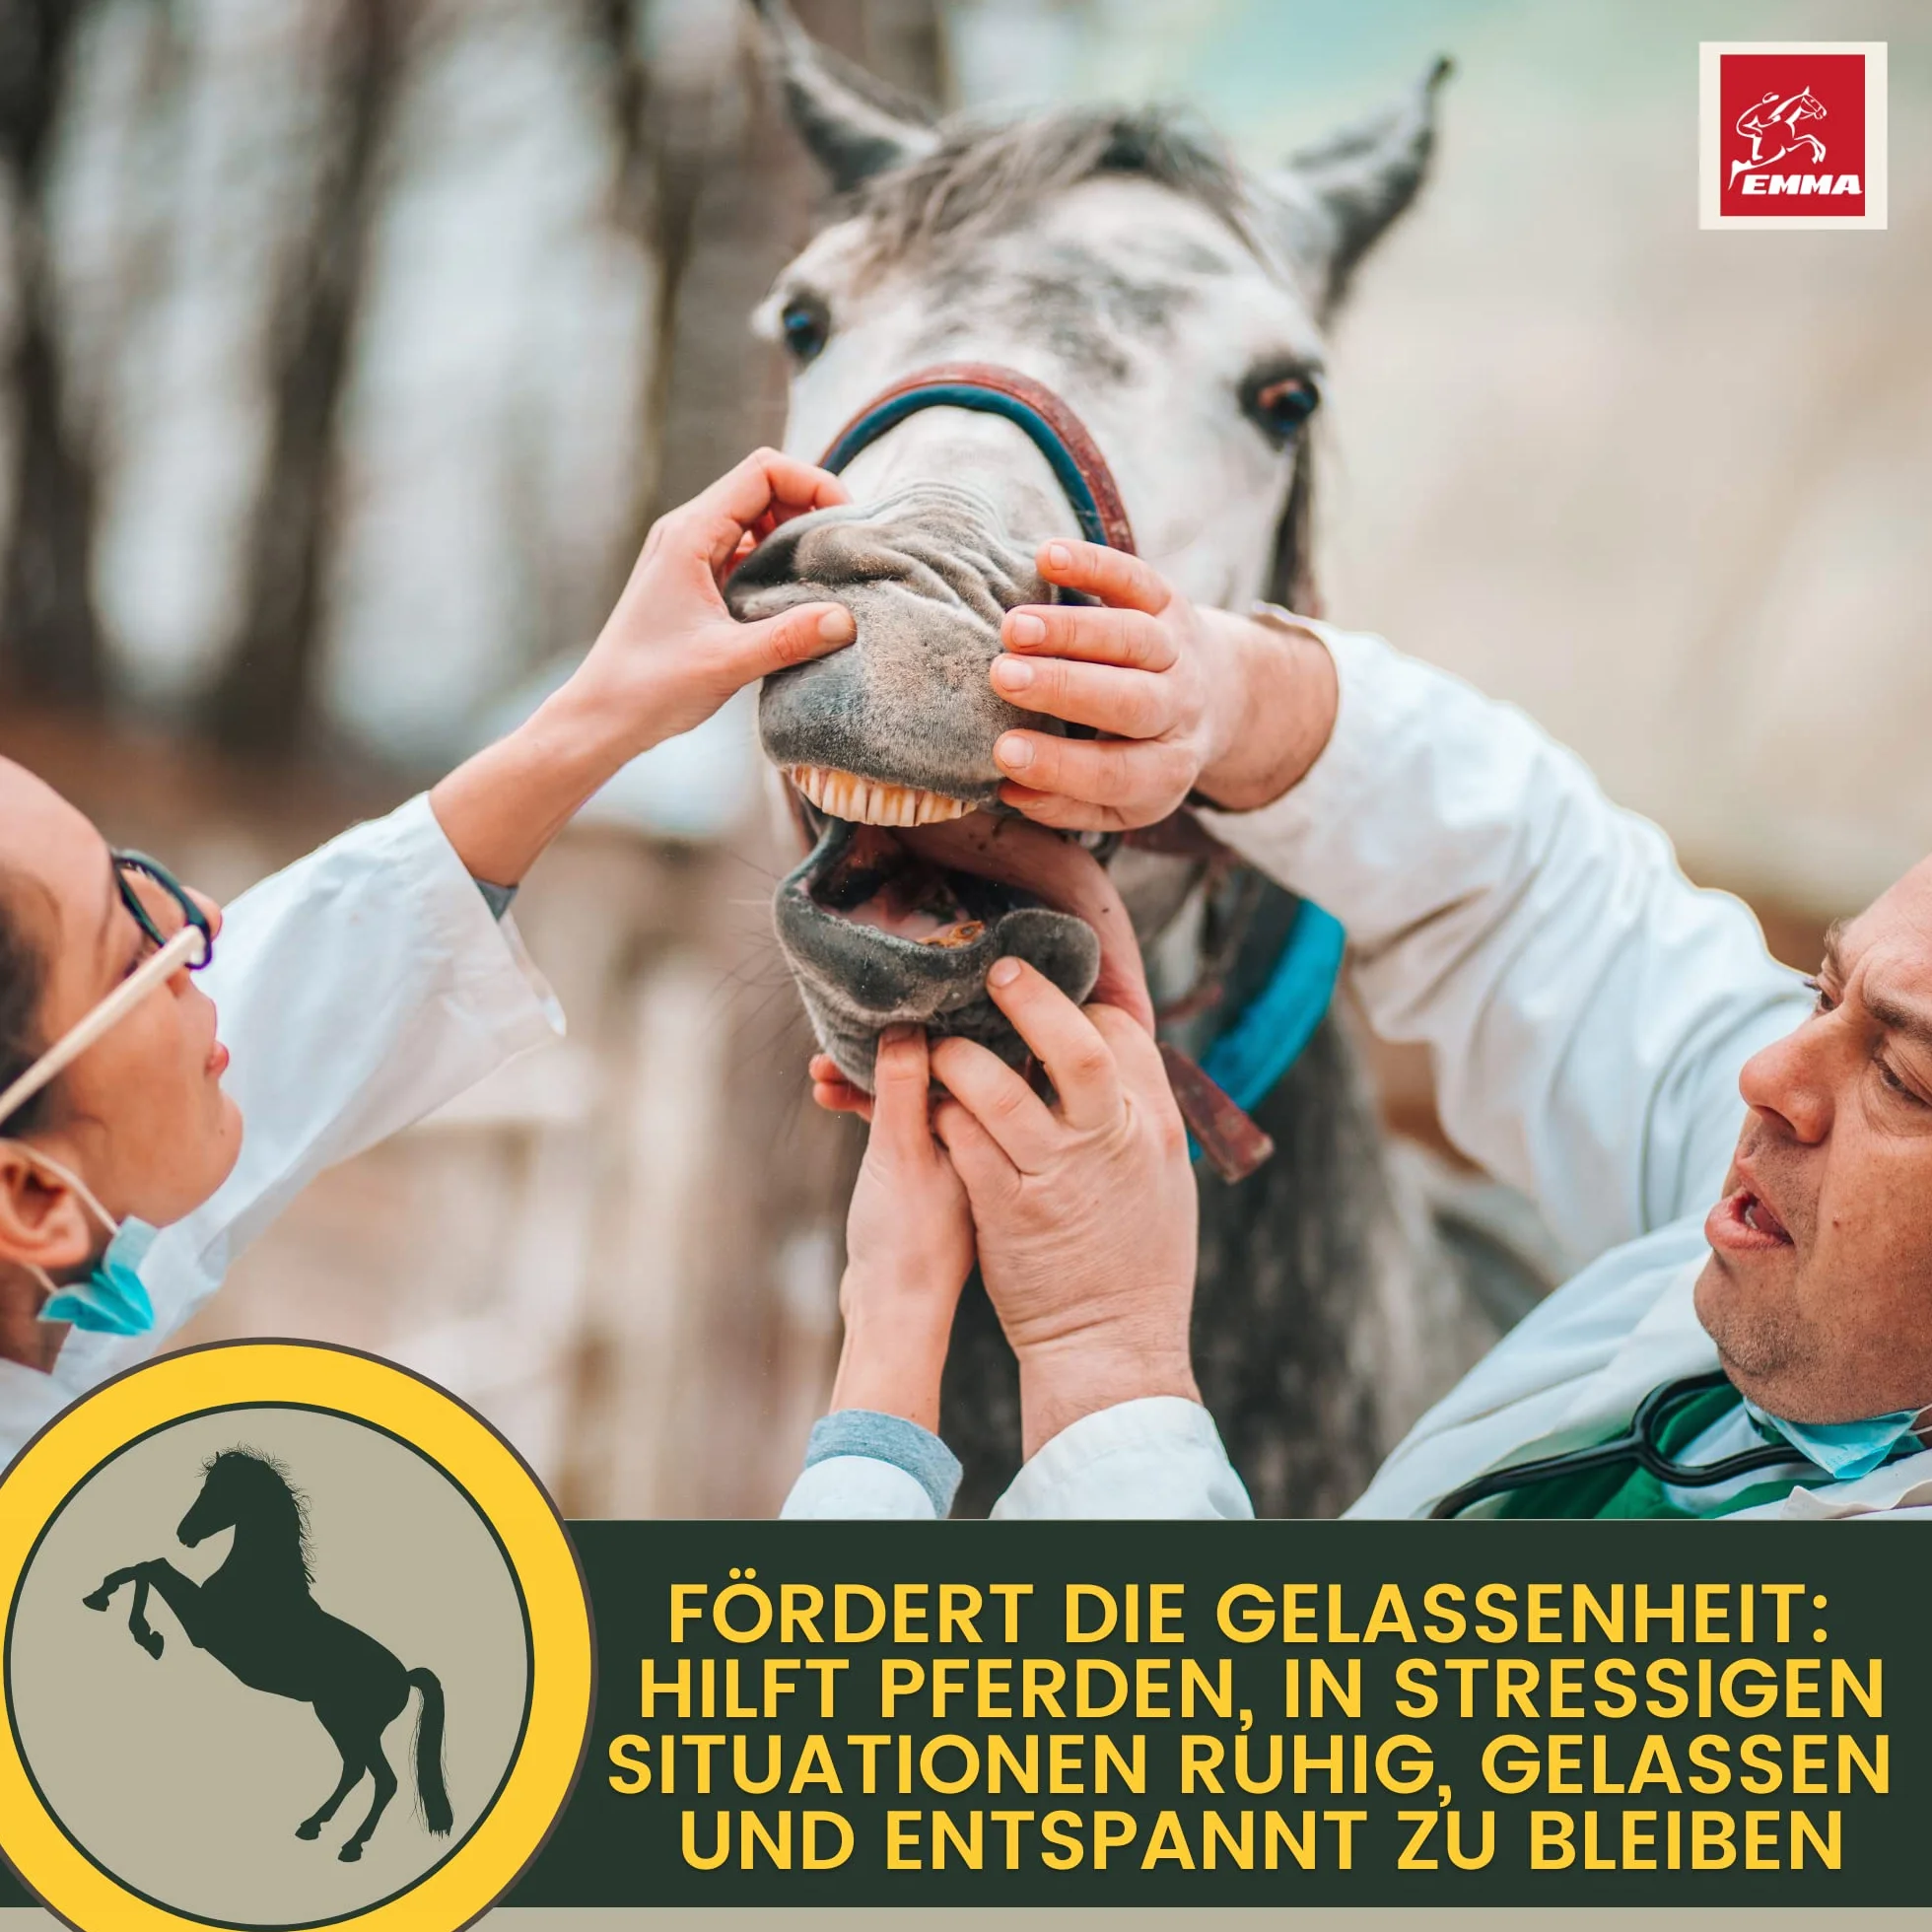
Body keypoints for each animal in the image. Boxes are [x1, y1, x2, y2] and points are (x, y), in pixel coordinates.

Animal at [82, 1447, 453, 1865]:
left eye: (219, 1491)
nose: (184, 1533)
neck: (259, 1580)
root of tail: (404, 1676)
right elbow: (147, 1567)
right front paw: (111, 1606)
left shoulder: (201, 1626)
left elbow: (152, 1567)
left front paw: (143, 1632)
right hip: (337, 1720)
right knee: (354, 1771)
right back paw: (312, 1826)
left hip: (358, 1726)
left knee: (384, 1780)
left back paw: (352, 1846)